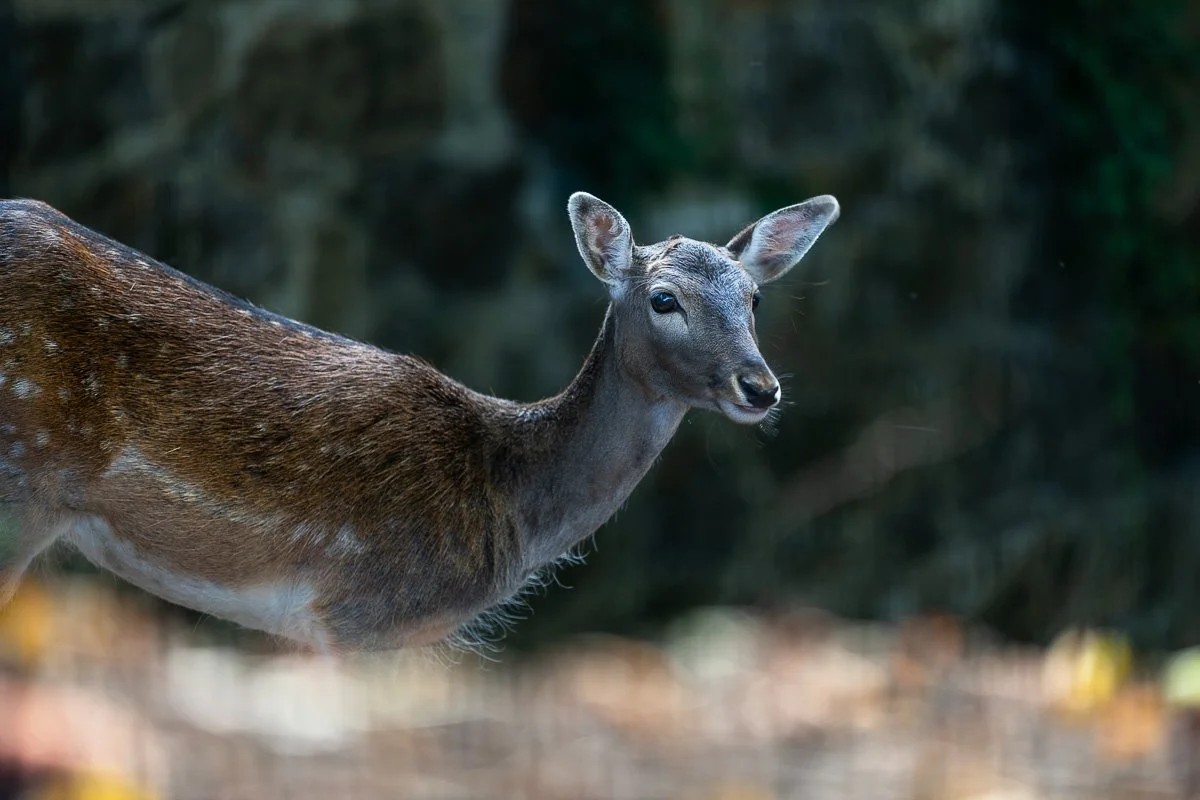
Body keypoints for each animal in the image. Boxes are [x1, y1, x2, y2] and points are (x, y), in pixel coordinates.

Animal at [0, 191, 839, 654]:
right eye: (665, 299)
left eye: (754, 299)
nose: (760, 386)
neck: (509, 506)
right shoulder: (358, 610)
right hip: (21, 480)